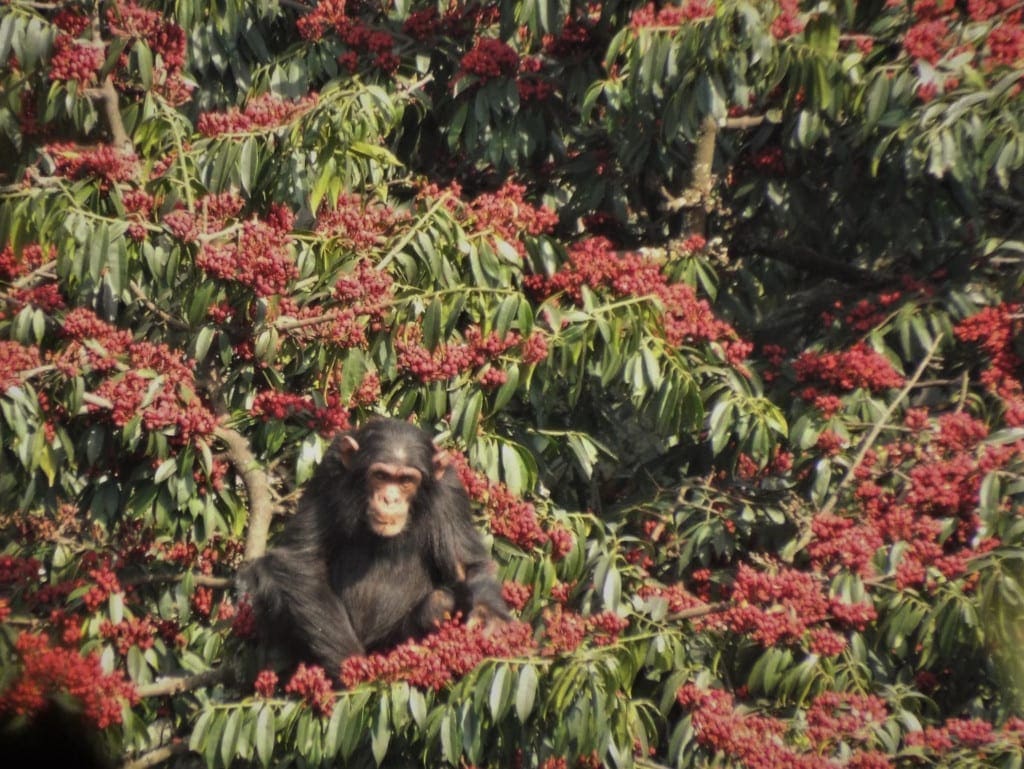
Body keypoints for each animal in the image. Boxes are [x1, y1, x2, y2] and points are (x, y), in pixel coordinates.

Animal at [240, 415, 512, 671]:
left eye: (406, 481)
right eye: (381, 476)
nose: (390, 499)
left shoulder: (450, 490)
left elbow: (465, 566)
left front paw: (490, 616)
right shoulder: (330, 472)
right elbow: (303, 557)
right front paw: (351, 670)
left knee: (439, 601)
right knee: (268, 575)